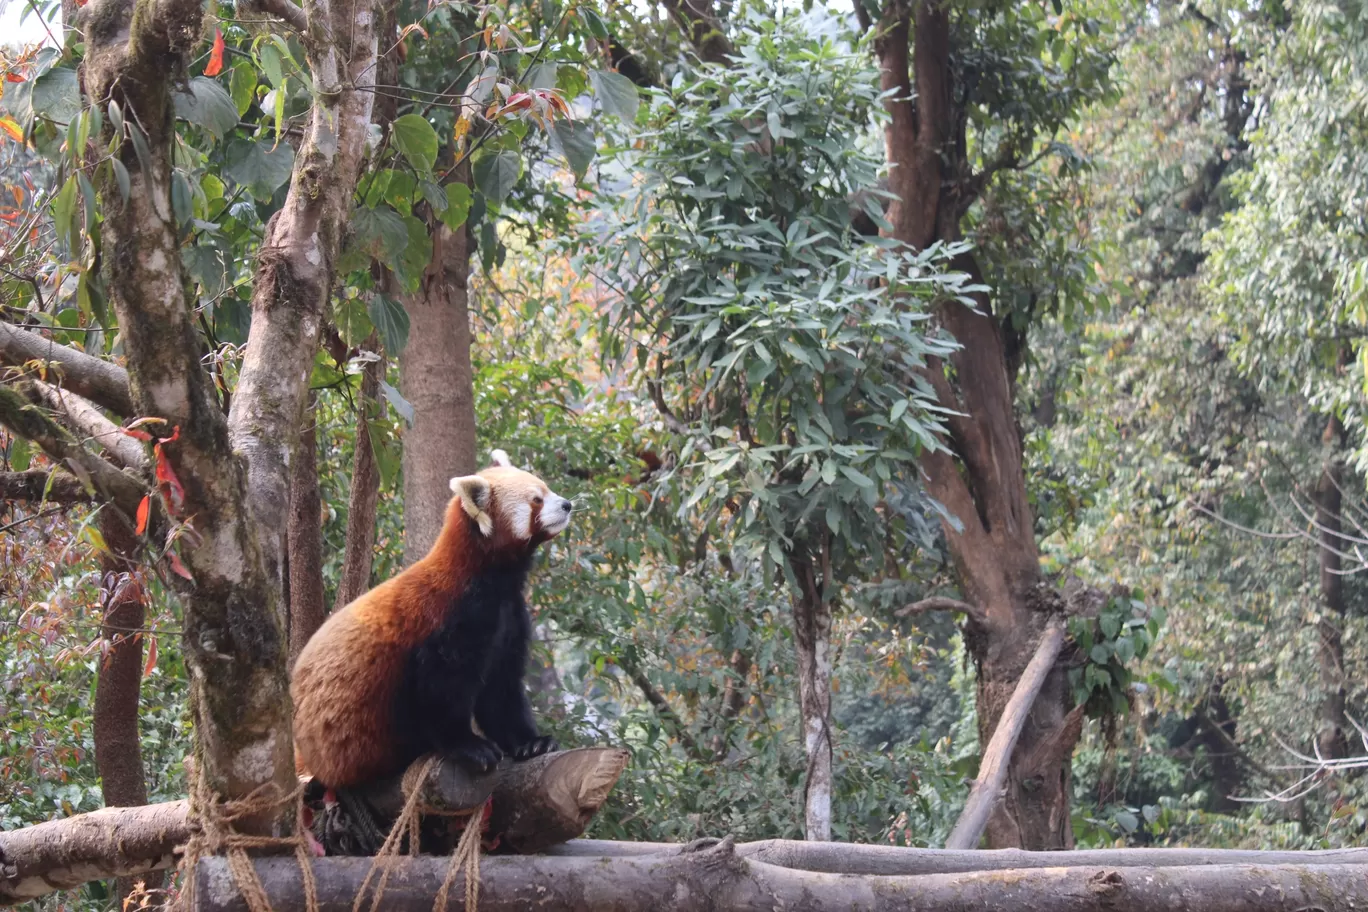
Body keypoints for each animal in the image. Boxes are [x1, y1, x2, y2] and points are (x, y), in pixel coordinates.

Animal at [294, 453, 571, 787]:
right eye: (536, 500)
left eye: (547, 489)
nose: (567, 504)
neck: (491, 577)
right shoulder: (451, 618)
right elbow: (440, 690)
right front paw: (469, 746)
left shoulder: (511, 616)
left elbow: (501, 689)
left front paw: (531, 742)